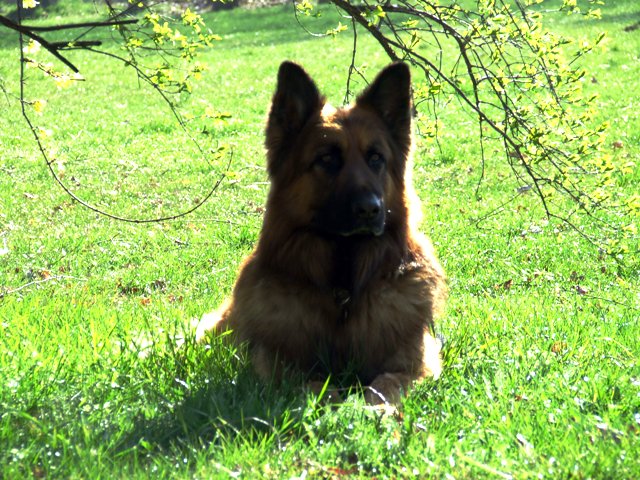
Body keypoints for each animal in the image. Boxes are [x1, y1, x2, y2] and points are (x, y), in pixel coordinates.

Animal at [197, 61, 446, 405]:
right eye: (327, 159)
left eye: (376, 158)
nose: (370, 210)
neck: (343, 290)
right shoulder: (275, 365)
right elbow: (313, 386)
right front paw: (335, 404)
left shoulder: (415, 363)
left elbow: (386, 385)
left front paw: (371, 408)